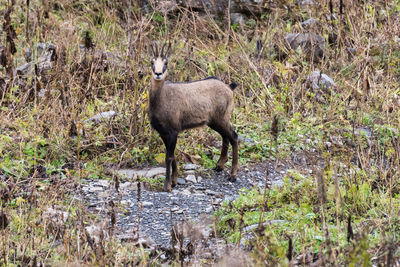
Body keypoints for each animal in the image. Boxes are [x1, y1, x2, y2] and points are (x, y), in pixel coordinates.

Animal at [149, 42, 238, 193]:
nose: (158, 74)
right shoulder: (163, 132)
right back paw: (219, 165)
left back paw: (233, 175)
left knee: (234, 136)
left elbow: (169, 157)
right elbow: (172, 156)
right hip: (215, 121)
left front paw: (167, 185)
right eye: (152, 62)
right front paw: (174, 181)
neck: (161, 99)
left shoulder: (173, 131)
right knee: (225, 136)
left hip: (221, 118)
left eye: (166, 62)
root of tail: (229, 87)